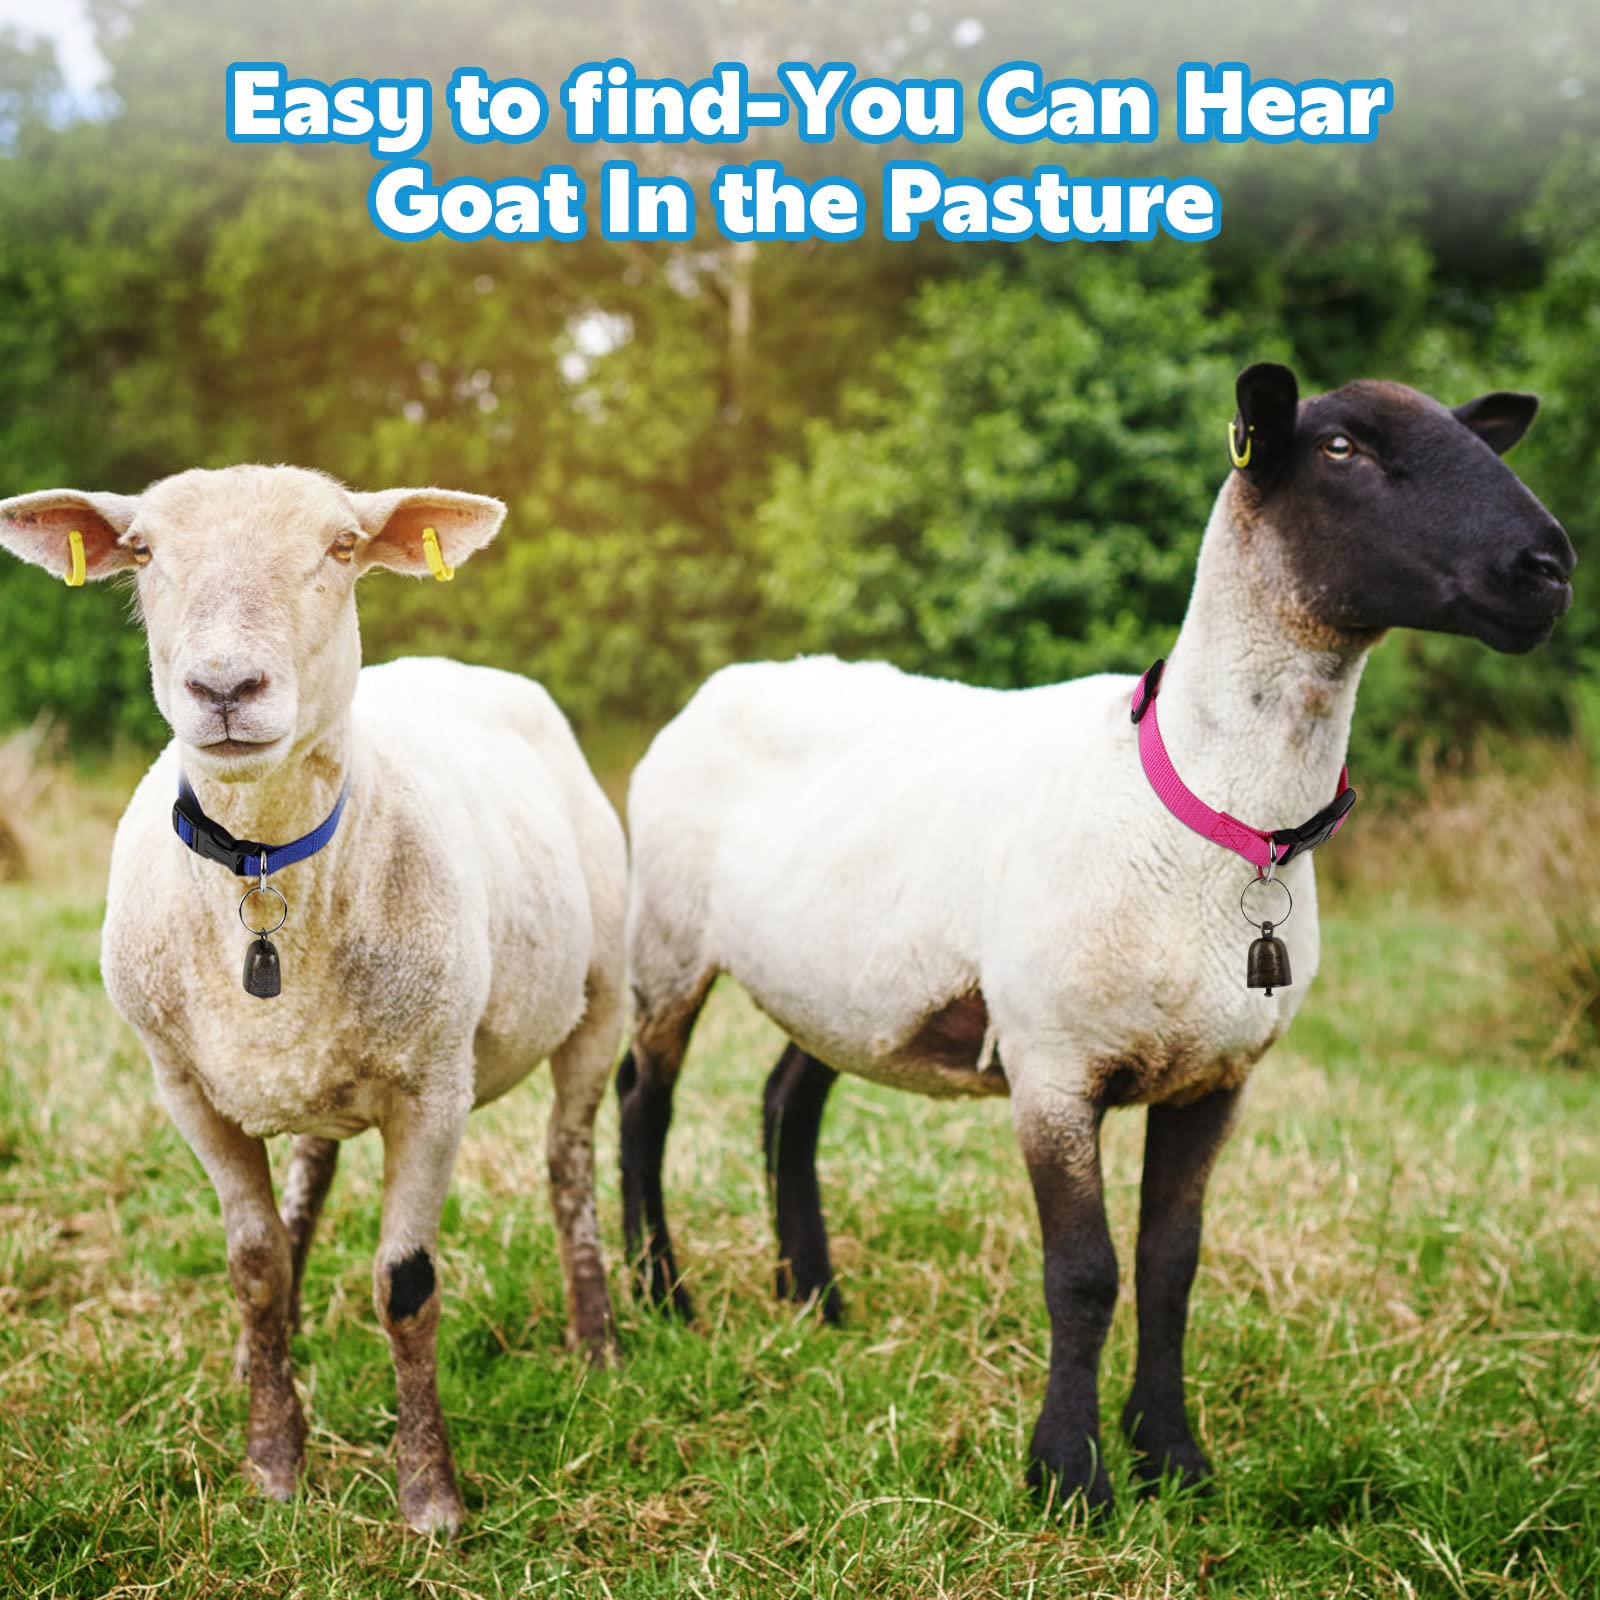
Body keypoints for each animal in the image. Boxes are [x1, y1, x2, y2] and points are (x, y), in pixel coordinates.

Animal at [0, 466, 626, 1535]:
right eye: (144, 551)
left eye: (342, 547)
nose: (224, 689)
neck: (262, 868)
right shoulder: (185, 1088)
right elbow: (255, 1269)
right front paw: (271, 1462)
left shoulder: (435, 1087)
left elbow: (405, 1287)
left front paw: (430, 1497)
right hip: (313, 1071)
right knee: (313, 1174)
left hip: (607, 993)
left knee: (569, 1159)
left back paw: (597, 1340)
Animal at [617, 364, 1575, 1512]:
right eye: (1340, 448)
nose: (1549, 568)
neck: (1207, 810)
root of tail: (731, 678)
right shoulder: (1053, 1065)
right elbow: (1085, 1272)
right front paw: (1068, 1474)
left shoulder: (1216, 1077)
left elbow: (1171, 1263)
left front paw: (1172, 1454)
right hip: (667, 937)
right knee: (645, 1100)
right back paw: (658, 1294)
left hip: (841, 974)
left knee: (783, 1101)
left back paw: (814, 1298)